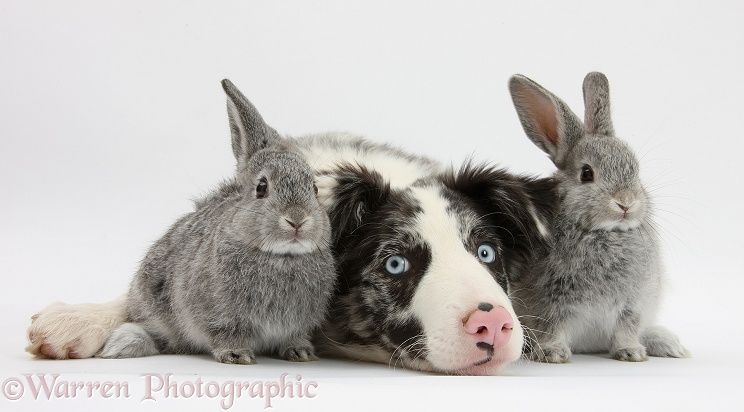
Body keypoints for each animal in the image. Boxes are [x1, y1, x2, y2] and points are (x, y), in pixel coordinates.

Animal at [97, 80, 336, 364]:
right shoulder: (218, 317)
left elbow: (294, 337)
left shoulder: (297, 324)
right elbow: (225, 334)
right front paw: (236, 355)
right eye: (262, 187)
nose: (298, 220)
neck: (281, 257)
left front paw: (301, 352)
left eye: (314, 189)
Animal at [508, 72, 688, 362]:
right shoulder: (547, 303)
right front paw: (554, 354)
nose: (626, 203)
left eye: (635, 170)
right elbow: (551, 328)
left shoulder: (632, 304)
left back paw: (668, 344)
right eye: (586, 174)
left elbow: (627, 328)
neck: (602, 232)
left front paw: (631, 352)